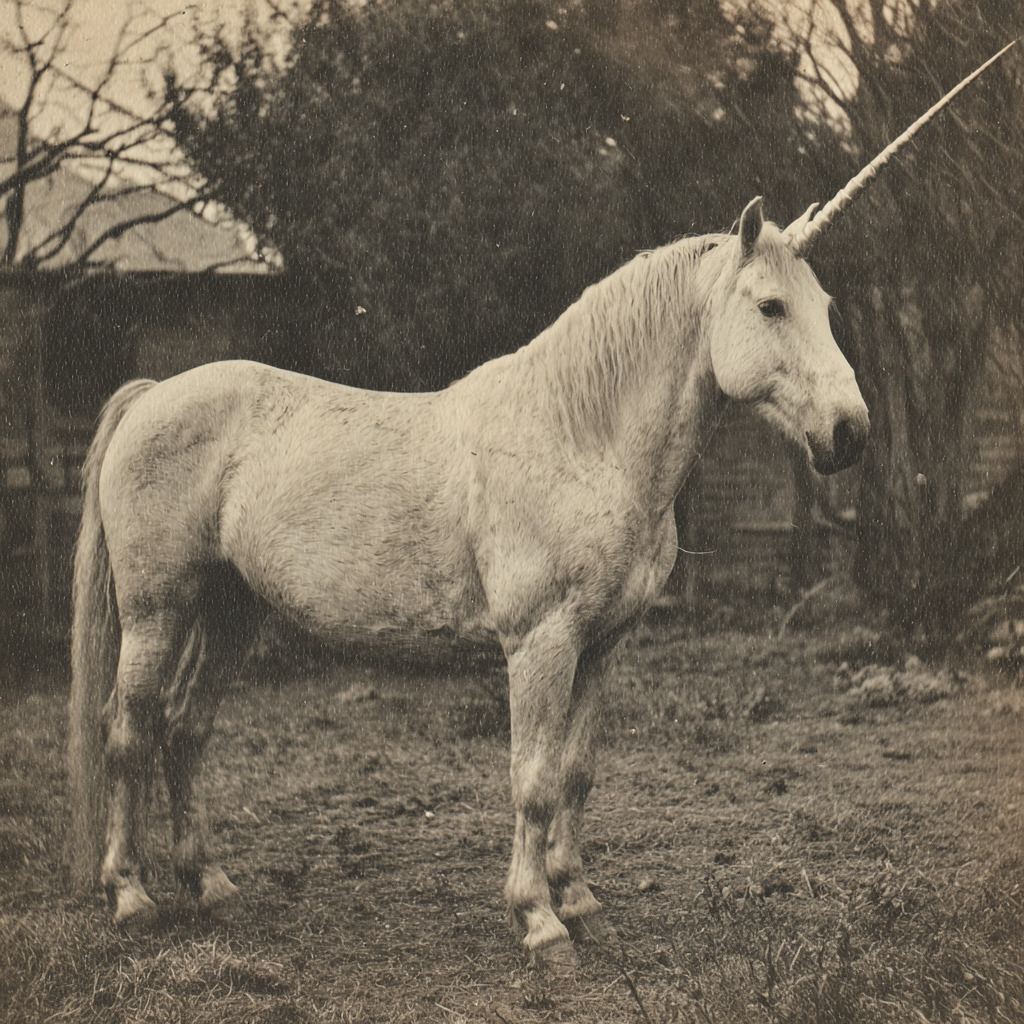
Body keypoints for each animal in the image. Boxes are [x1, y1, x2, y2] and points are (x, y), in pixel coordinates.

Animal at [66, 196, 868, 970]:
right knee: (130, 733)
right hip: (156, 611)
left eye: (825, 306)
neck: (578, 438)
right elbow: (534, 779)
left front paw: (581, 902)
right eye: (770, 306)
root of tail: (152, 397)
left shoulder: (603, 645)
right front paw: (539, 921)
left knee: (185, 729)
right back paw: (131, 896)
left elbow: (576, 772)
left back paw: (211, 886)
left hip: (232, 611)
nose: (850, 432)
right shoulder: (541, 644)